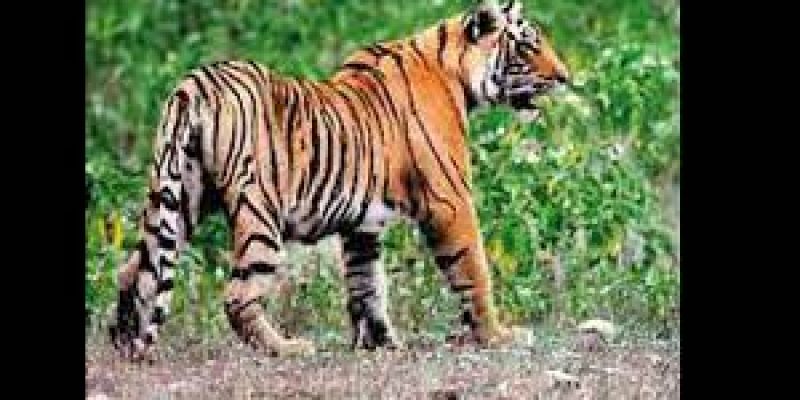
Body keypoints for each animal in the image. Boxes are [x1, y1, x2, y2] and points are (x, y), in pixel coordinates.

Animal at [109, 0, 570, 359]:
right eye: (527, 45)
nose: (565, 77)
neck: (454, 72)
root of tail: (196, 84)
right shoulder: (450, 200)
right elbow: (474, 270)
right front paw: (498, 336)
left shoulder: (362, 224)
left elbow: (367, 285)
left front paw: (381, 344)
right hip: (258, 211)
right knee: (237, 295)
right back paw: (286, 348)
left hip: (178, 196)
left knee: (135, 269)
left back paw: (124, 342)